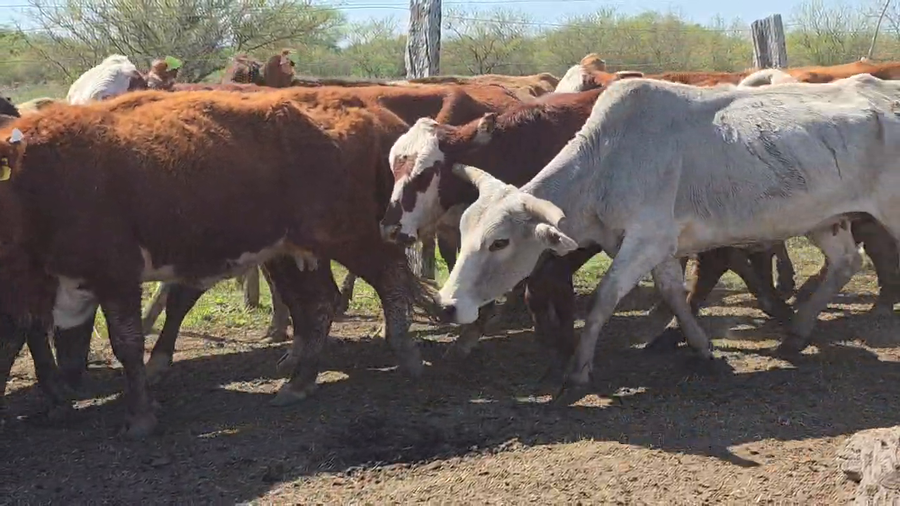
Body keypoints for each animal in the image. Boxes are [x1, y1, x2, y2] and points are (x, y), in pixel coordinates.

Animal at [0, 88, 439, 438]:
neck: (34, 178)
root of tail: (375, 115)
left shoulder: (115, 276)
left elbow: (125, 344)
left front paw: (139, 417)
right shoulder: (50, 285)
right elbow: (36, 341)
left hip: (352, 236)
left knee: (390, 280)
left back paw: (405, 353)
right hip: (298, 251)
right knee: (318, 306)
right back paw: (300, 381)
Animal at [435, 74, 900, 401]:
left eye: (499, 242)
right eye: (463, 232)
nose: (447, 306)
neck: (608, 161)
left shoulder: (644, 240)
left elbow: (604, 299)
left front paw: (579, 368)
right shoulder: (660, 246)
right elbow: (673, 292)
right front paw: (702, 347)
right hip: (826, 219)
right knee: (845, 263)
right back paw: (796, 334)